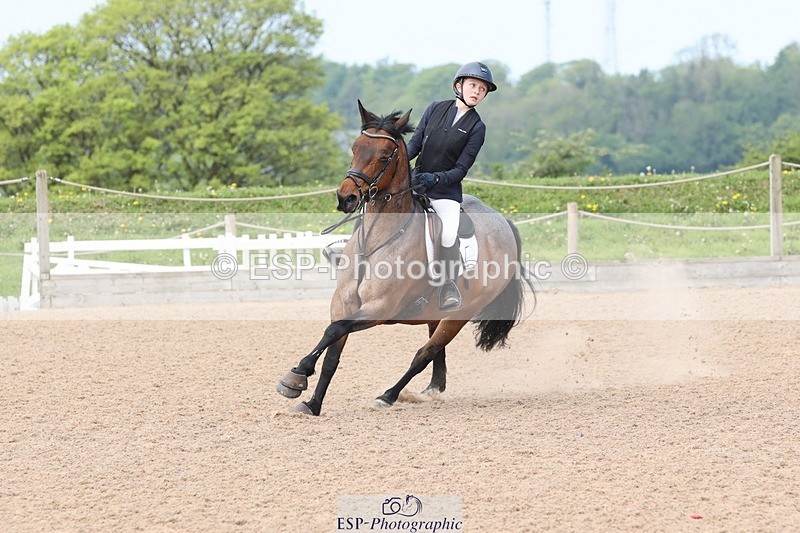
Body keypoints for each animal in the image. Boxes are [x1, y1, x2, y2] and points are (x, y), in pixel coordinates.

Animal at [276, 100, 534, 416]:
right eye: (355, 148)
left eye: (384, 156)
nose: (346, 198)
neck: (374, 242)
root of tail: (503, 222)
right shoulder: (343, 304)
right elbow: (331, 353)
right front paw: (311, 403)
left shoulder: (379, 308)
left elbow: (333, 330)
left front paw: (297, 375)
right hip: (435, 313)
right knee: (435, 352)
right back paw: (432, 389)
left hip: (459, 315)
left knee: (425, 353)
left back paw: (388, 395)